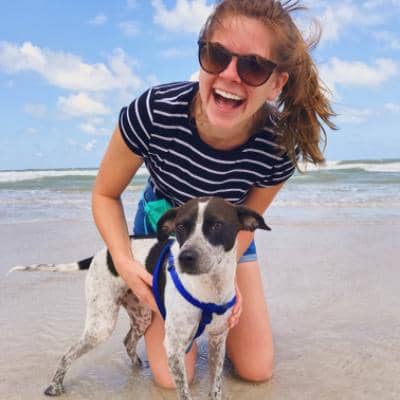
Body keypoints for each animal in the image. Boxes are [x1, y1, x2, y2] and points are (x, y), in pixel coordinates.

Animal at [9, 196, 270, 400]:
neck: (210, 287)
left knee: (127, 341)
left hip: (142, 315)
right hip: (101, 325)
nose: (185, 257)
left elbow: (215, 387)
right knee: (69, 352)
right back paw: (54, 386)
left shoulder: (218, 339)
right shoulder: (174, 348)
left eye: (217, 225)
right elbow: (184, 392)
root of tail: (102, 253)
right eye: (181, 227)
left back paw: (136, 367)